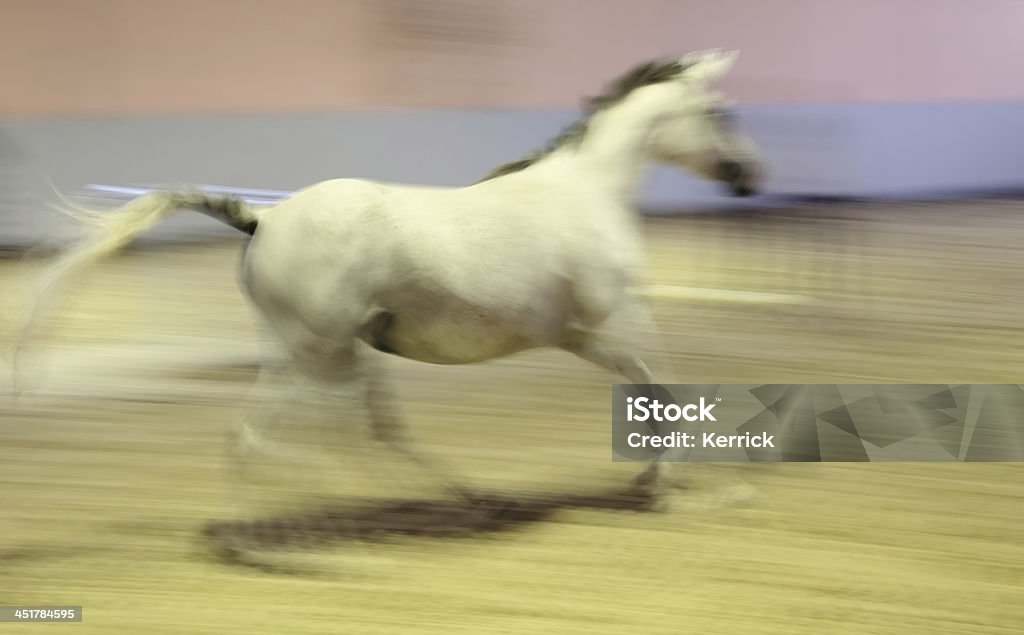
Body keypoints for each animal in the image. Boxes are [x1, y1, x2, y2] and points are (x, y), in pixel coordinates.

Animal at [19, 49, 765, 503]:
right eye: (719, 112)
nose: (750, 177)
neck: (585, 193)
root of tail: (264, 220)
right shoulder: (614, 321)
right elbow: (667, 388)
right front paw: (666, 485)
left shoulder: (583, 336)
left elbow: (653, 393)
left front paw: (652, 478)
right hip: (314, 353)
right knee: (267, 436)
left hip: (330, 351)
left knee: (363, 432)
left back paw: (462, 496)